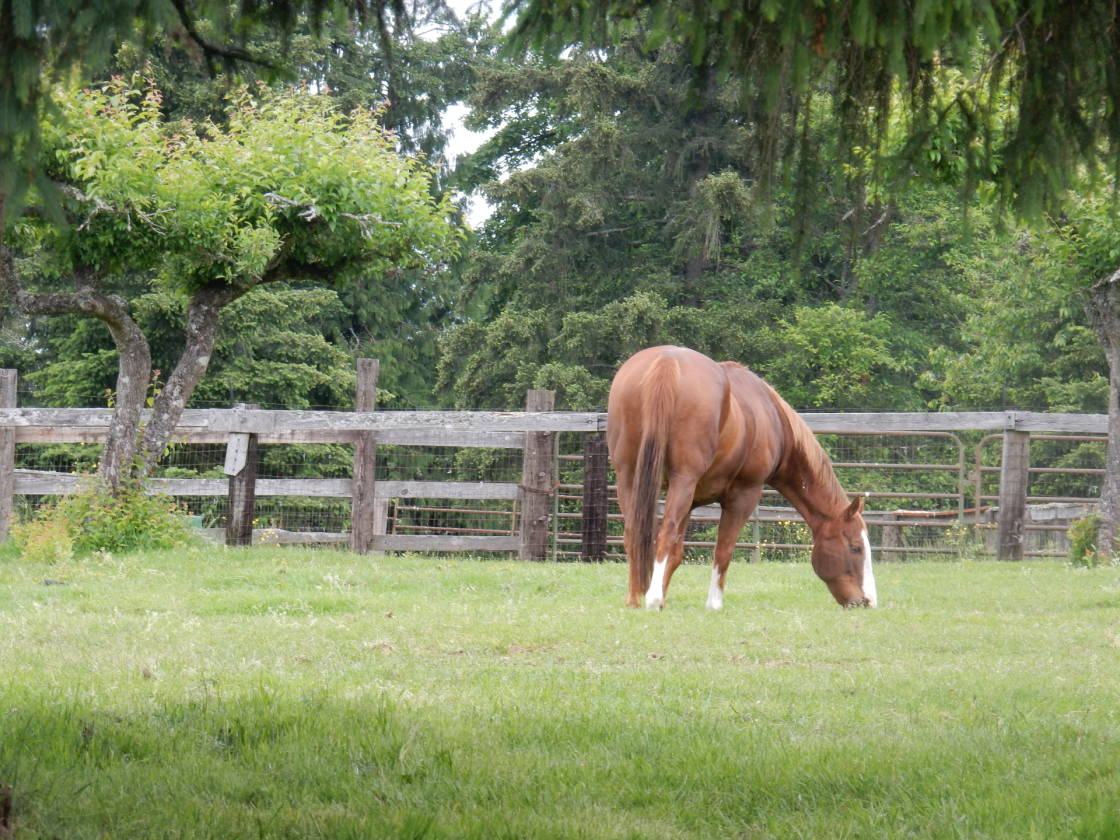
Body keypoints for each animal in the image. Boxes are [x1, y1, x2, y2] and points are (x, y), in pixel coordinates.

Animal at [606, 345, 877, 610]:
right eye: (855, 547)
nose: (867, 602)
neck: (772, 415)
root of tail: (666, 362)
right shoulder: (744, 494)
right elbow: (723, 550)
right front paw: (712, 603)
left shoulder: (691, 501)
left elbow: (677, 554)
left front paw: (662, 597)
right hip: (682, 480)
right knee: (665, 533)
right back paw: (651, 600)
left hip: (629, 478)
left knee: (633, 534)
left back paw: (634, 598)